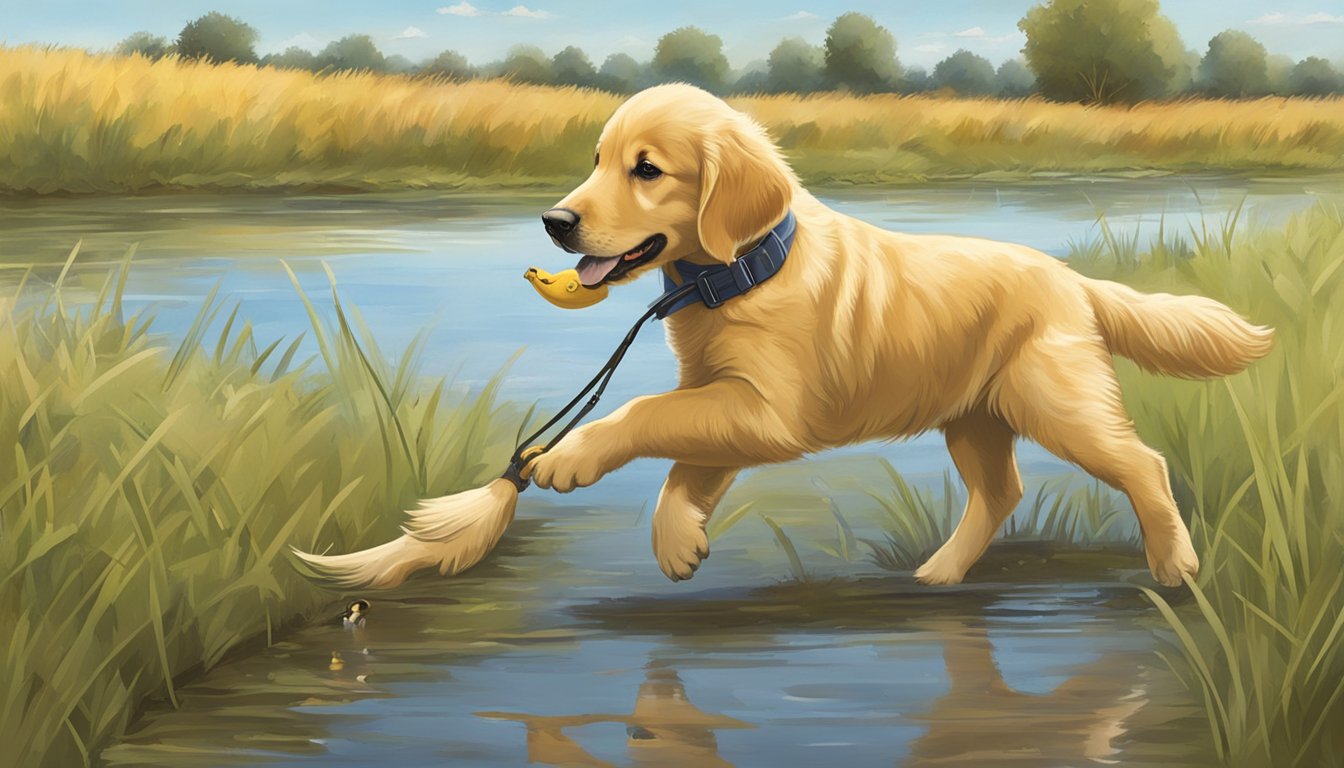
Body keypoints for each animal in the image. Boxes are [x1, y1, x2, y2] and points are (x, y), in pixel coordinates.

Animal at [524, 84, 1268, 586]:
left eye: (646, 169)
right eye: (597, 160)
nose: (555, 222)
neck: (744, 269)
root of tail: (1073, 280)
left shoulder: (767, 412)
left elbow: (649, 413)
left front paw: (571, 456)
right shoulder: (724, 397)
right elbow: (684, 460)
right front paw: (679, 540)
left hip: (1058, 404)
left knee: (1143, 464)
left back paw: (1175, 565)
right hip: (974, 417)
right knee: (1001, 493)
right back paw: (940, 572)